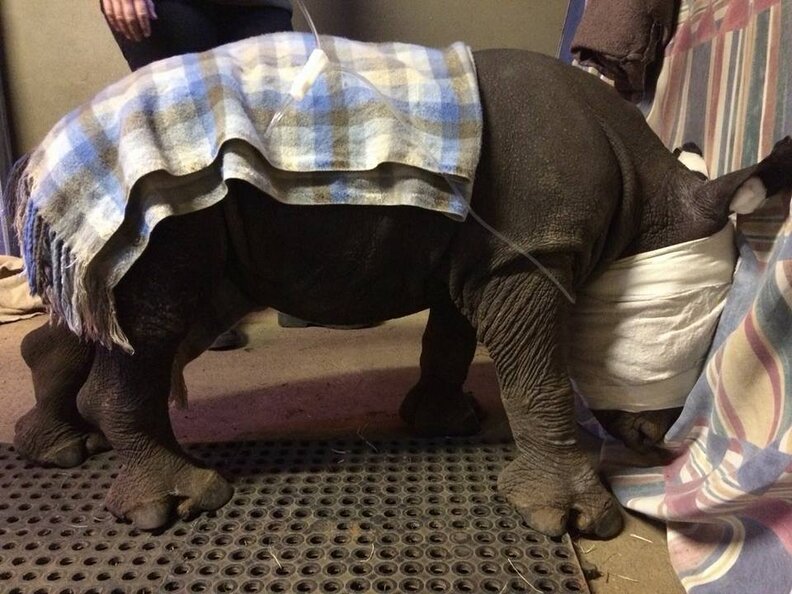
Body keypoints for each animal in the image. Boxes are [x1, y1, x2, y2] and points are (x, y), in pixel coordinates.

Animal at [11, 48, 792, 537]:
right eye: (678, 335)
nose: (656, 437)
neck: (646, 189)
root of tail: (43, 151)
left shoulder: (483, 253)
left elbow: (449, 336)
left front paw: (443, 422)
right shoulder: (531, 252)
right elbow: (537, 374)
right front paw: (575, 520)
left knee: (120, 310)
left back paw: (61, 448)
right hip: (159, 202)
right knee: (153, 321)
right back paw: (177, 506)